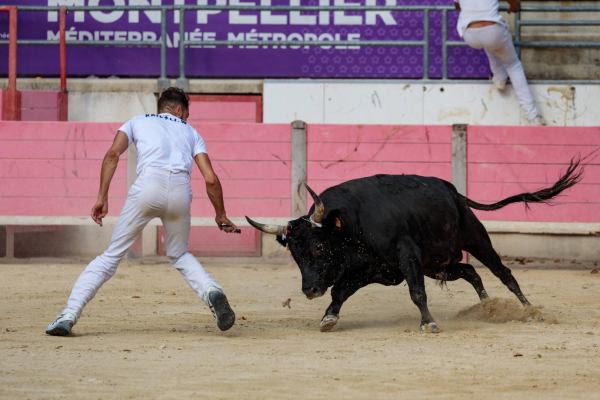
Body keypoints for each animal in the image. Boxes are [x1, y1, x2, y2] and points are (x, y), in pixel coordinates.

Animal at [246, 159, 584, 332]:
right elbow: (340, 291)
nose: (309, 290)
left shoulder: (406, 255)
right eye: (294, 254)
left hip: (476, 238)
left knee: (503, 273)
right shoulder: (370, 269)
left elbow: (416, 292)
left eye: (317, 247)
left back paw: (530, 310)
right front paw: (329, 317)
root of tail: (454, 192)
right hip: (438, 264)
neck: (352, 223)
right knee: (471, 272)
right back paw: (486, 306)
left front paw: (429, 323)